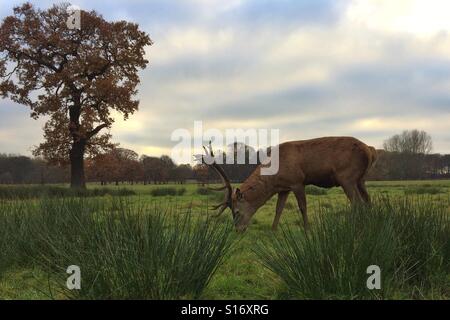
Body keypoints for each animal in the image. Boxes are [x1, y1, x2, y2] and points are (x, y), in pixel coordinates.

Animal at [202, 136, 378, 231]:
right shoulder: (284, 188)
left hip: (347, 177)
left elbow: (302, 207)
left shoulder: (297, 181)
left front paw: (307, 229)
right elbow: (278, 209)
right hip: (361, 179)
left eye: (237, 211)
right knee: (368, 201)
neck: (274, 179)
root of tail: (370, 150)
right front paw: (273, 229)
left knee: (358, 203)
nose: (238, 230)